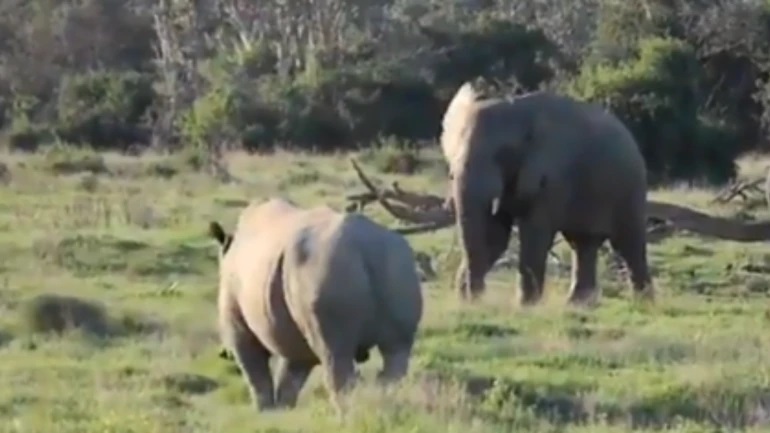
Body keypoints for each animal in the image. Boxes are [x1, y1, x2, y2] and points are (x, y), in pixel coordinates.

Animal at [206, 197, 420, 410]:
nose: (223, 353)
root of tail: (364, 245)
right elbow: (290, 378)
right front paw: (283, 411)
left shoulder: (238, 324)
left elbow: (255, 374)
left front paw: (264, 412)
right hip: (398, 263)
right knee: (396, 351)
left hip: (325, 267)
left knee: (335, 356)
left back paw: (346, 414)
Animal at [440, 80, 652, 304]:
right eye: (452, 162)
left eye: (504, 154)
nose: (473, 297)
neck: (515, 109)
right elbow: (496, 237)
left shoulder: (553, 175)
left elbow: (534, 233)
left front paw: (525, 307)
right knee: (583, 243)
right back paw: (578, 305)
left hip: (632, 187)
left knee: (628, 244)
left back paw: (643, 303)